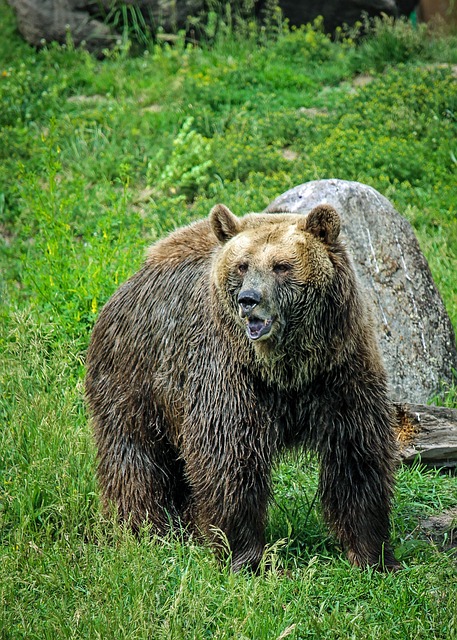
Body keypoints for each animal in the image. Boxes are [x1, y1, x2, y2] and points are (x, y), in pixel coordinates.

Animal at [84, 204, 396, 568]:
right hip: (135, 377)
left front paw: (371, 553)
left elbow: (356, 454)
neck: (287, 369)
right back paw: (143, 528)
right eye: (243, 265)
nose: (249, 299)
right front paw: (244, 555)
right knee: (134, 456)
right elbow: (230, 459)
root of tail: (127, 284)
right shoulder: (230, 376)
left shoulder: (340, 368)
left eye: (282, 265)